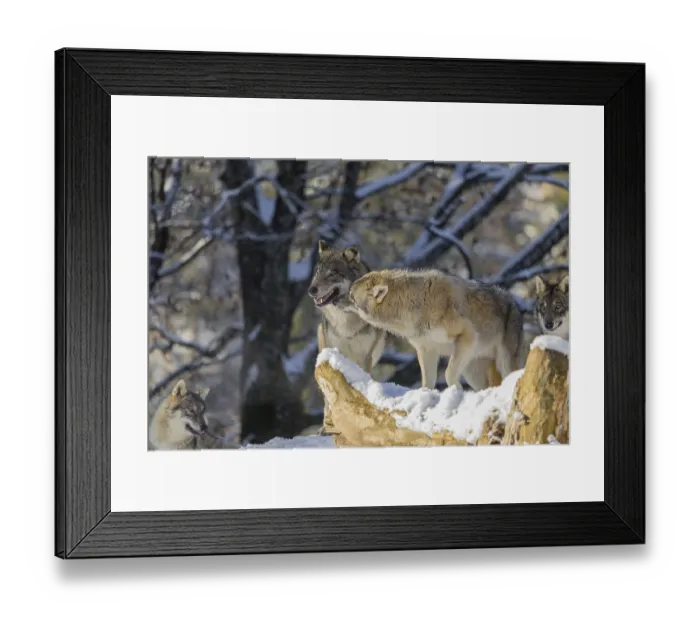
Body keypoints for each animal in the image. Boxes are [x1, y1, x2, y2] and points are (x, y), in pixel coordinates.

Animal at [348, 268, 523, 391]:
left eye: (351, 297)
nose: (340, 295)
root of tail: (513, 301)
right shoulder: (427, 350)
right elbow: (427, 382)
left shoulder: (468, 334)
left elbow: (448, 373)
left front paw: (456, 391)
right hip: (472, 372)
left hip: (503, 362)